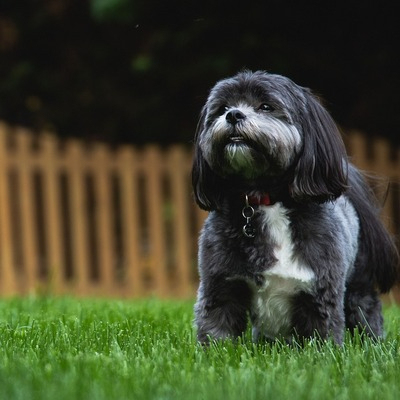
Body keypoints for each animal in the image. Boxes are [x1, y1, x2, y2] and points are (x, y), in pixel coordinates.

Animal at [192, 69, 398, 344]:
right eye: (222, 108)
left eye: (266, 106)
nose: (233, 114)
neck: (266, 198)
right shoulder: (220, 285)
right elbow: (217, 330)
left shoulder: (320, 293)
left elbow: (323, 337)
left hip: (358, 283)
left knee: (365, 309)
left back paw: (372, 342)